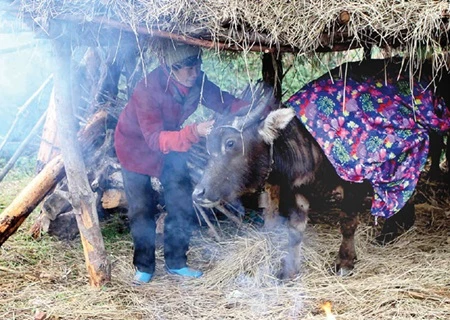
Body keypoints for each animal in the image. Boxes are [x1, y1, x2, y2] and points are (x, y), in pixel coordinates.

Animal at [192, 58, 450, 278]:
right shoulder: (297, 191)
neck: (312, 146)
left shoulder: (354, 183)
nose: (198, 193)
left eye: (230, 143)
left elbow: (348, 224)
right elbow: (295, 231)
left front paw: (345, 262)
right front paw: (289, 270)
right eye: (208, 144)